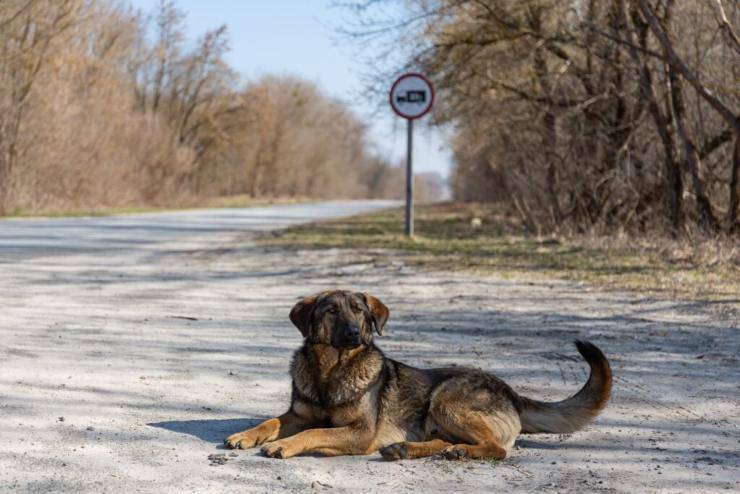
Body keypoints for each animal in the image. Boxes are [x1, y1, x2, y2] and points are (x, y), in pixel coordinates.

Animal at [225, 290, 612, 460]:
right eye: (331, 310)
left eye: (359, 311)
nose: (352, 333)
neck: (331, 371)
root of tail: (512, 393)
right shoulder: (298, 414)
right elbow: (270, 421)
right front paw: (246, 435)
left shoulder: (359, 432)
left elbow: (316, 431)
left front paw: (284, 445)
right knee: (445, 441)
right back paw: (407, 448)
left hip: (446, 400)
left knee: (496, 449)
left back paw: (460, 452)